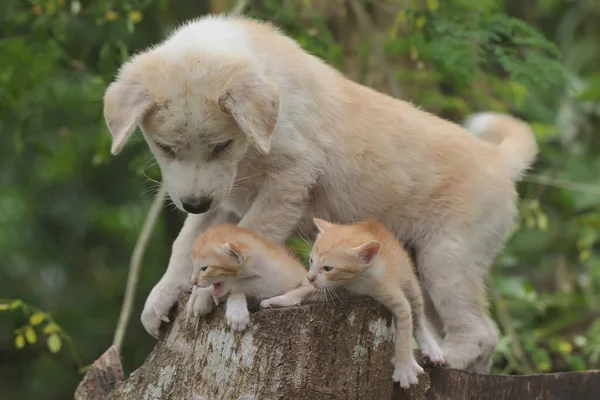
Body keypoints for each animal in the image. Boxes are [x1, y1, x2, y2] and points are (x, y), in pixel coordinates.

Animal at [262, 219, 446, 388]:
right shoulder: (335, 290)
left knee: (418, 316)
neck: (356, 282)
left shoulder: (392, 293)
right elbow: (305, 291)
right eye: (312, 260)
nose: (310, 277)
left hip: (409, 280)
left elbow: (405, 331)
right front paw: (280, 300)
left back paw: (430, 347)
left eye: (328, 268)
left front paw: (404, 368)